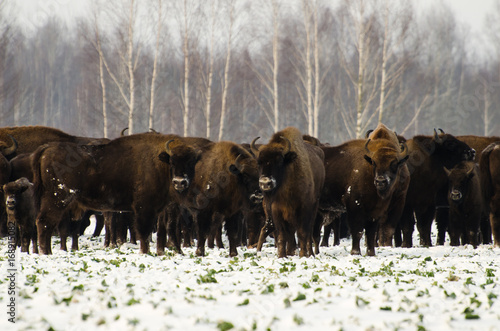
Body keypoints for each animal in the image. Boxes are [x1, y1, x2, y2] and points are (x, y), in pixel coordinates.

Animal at [250, 127, 324, 260]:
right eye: (259, 162)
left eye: (279, 161)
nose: (265, 183)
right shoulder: (277, 211)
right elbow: (282, 235)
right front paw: (281, 256)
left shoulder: (304, 209)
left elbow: (302, 233)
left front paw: (303, 255)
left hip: (314, 208)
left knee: (308, 232)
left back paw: (310, 253)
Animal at [320, 124, 410, 256]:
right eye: (374, 163)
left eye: (394, 164)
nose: (380, 181)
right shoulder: (354, 206)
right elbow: (358, 231)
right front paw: (355, 252)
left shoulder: (376, 211)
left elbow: (371, 232)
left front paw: (371, 253)